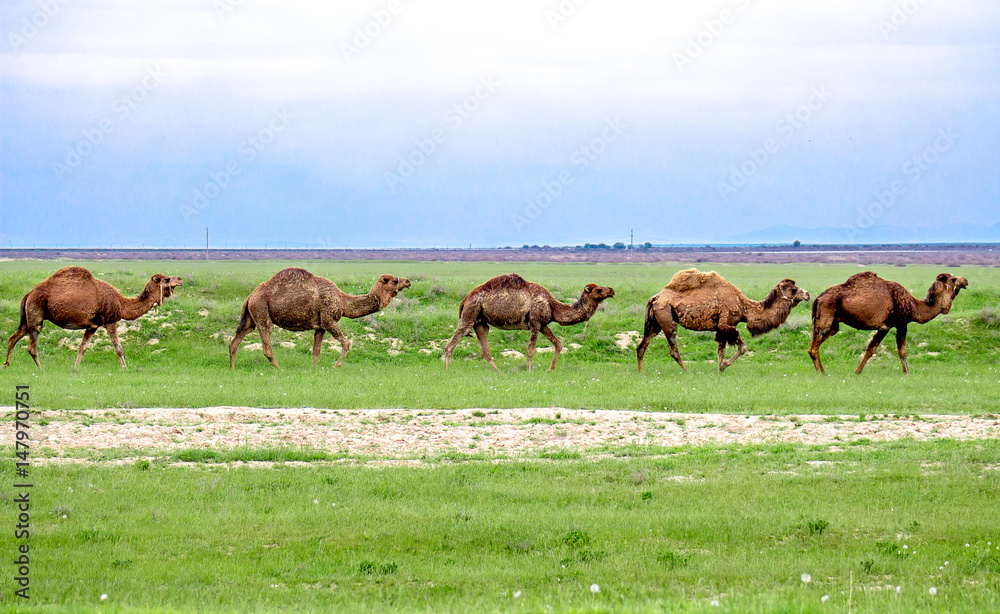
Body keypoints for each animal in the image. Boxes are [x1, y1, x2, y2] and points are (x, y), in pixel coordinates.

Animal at [3, 266, 182, 370]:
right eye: (167, 279)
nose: (180, 279)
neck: (121, 303)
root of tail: (29, 294)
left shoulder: (92, 326)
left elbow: (82, 347)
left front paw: (75, 368)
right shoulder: (110, 321)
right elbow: (118, 348)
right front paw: (125, 368)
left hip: (27, 317)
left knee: (13, 337)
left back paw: (6, 364)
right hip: (36, 314)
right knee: (31, 345)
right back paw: (41, 368)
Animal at [229, 270, 408, 370]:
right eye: (394, 280)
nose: (408, 281)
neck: (342, 301)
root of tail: (250, 296)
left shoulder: (320, 325)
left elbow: (316, 350)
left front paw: (314, 369)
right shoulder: (329, 319)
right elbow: (346, 343)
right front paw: (336, 366)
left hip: (250, 318)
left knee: (235, 340)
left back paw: (232, 368)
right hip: (261, 311)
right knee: (266, 343)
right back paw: (279, 368)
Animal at [442, 276, 612, 372]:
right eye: (599, 289)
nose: (612, 290)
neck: (552, 306)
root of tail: (465, 299)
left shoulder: (543, 324)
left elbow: (558, 344)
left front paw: (551, 370)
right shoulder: (535, 322)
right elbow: (530, 350)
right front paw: (529, 372)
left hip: (480, 321)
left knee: (484, 349)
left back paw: (498, 372)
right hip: (470, 313)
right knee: (451, 343)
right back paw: (447, 370)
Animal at [636, 270, 808, 376]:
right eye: (793, 289)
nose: (807, 294)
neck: (744, 307)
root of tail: (655, 298)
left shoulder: (722, 326)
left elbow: (721, 349)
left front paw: (719, 369)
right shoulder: (726, 324)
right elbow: (742, 347)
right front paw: (723, 367)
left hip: (655, 322)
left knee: (642, 345)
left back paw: (641, 372)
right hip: (666, 318)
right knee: (673, 348)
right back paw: (688, 371)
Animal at [804, 274, 968, 376]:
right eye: (953, 279)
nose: (965, 280)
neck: (914, 307)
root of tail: (818, 298)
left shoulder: (886, 326)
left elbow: (871, 349)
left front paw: (857, 371)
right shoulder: (897, 323)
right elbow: (901, 350)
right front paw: (907, 372)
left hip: (833, 324)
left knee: (817, 344)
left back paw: (824, 371)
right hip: (825, 317)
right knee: (813, 348)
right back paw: (820, 373)